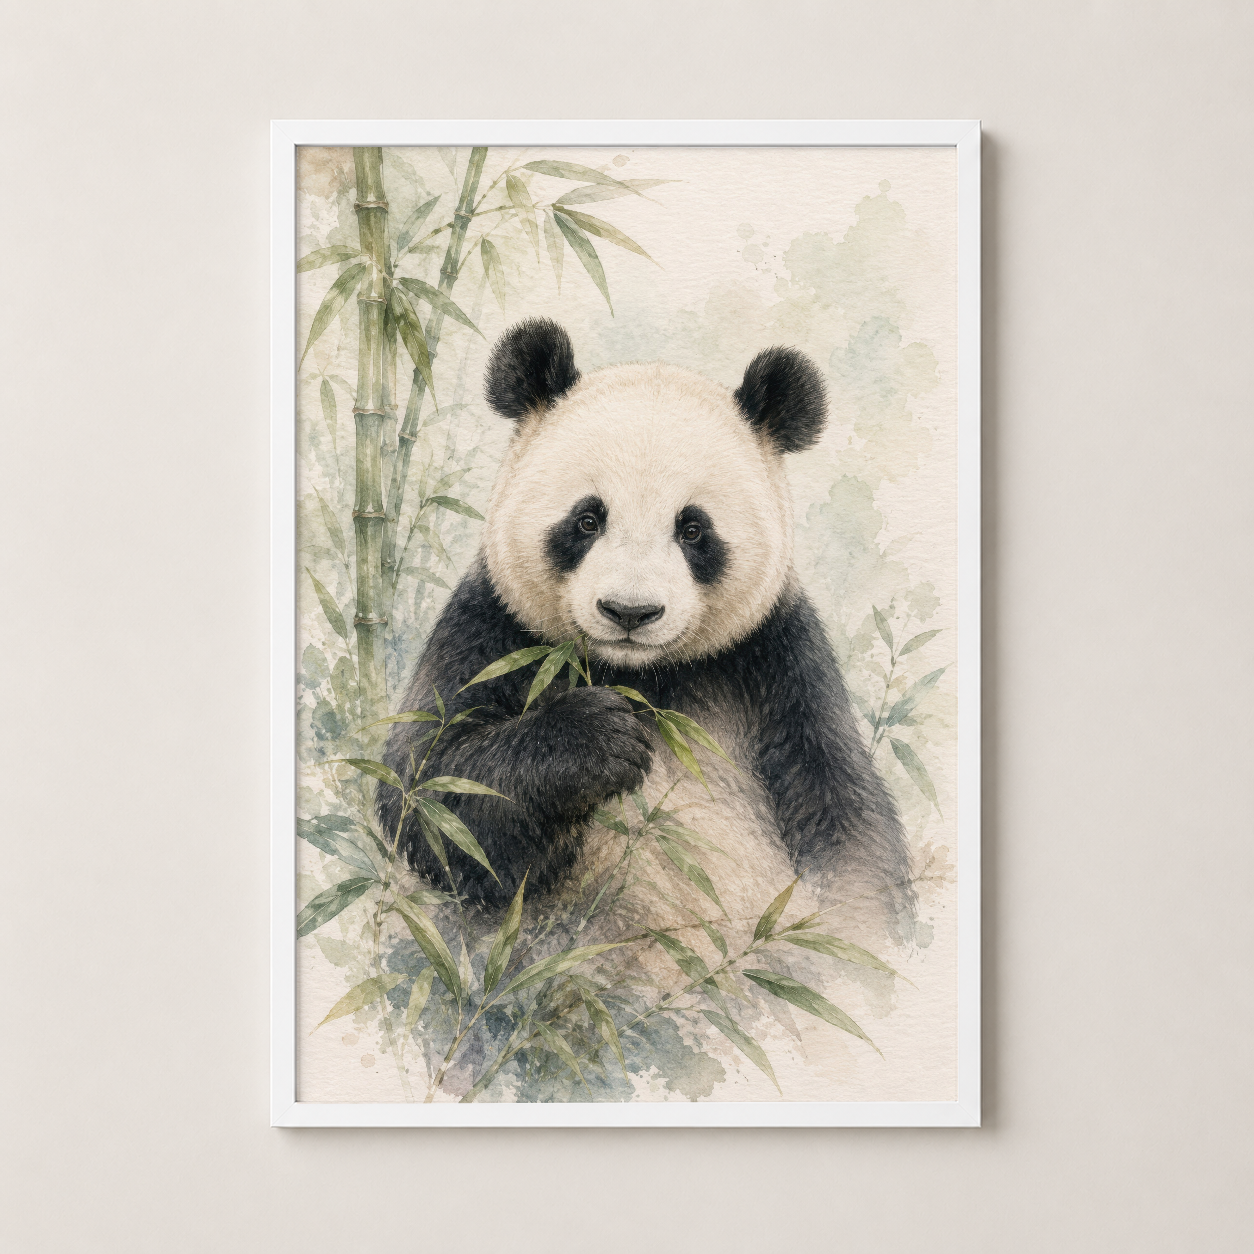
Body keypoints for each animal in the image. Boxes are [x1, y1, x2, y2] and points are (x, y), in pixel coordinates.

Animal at [379, 318, 916, 952]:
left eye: (693, 529)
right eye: (588, 519)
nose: (630, 612)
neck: (642, 675)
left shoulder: (777, 659)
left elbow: (845, 822)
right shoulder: (495, 628)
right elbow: (434, 793)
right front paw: (598, 738)